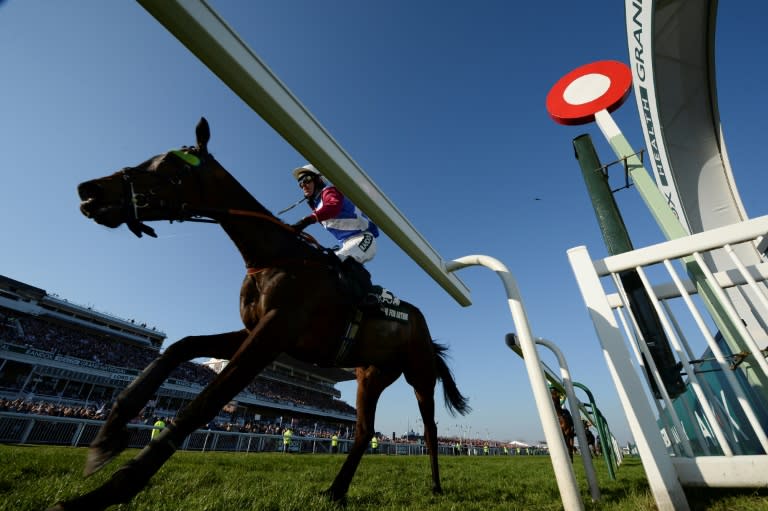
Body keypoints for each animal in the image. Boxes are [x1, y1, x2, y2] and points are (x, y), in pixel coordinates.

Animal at [49, 118, 468, 510]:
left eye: (171, 165)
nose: (91, 191)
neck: (274, 257)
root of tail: (422, 327)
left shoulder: (272, 335)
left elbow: (202, 406)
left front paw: (106, 492)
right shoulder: (252, 329)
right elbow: (180, 348)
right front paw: (107, 437)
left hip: (419, 375)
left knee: (430, 428)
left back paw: (435, 485)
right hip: (371, 374)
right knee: (364, 431)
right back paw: (335, 490)